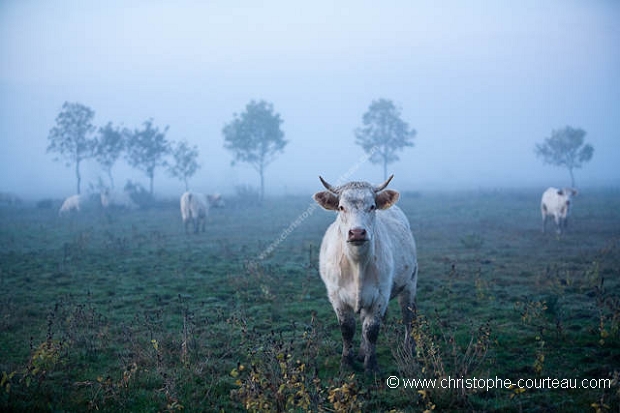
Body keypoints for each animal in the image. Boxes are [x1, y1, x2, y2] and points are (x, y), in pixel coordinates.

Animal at [314, 174, 416, 374]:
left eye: (372, 206)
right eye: (341, 207)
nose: (357, 232)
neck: (357, 264)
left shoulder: (380, 296)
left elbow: (372, 330)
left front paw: (371, 365)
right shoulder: (337, 296)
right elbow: (347, 329)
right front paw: (347, 363)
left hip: (410, 284)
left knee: (407, 316)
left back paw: (408, 349)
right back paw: (361, 352)